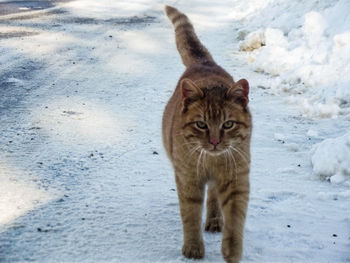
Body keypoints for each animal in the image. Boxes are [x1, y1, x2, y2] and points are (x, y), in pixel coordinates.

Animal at [161, 4, 252, 263]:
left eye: (228, 124)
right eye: (201, 125)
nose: (214, 141)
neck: (212, 162)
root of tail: (204, 63)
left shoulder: (236, 180)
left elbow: (234, 219)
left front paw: (232, 250)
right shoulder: (188, 180)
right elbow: (190, 215)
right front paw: (193, 248)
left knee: (213, 196)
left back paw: (214, 220)